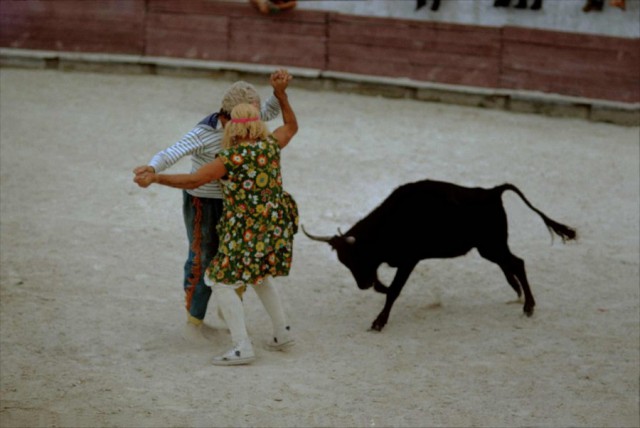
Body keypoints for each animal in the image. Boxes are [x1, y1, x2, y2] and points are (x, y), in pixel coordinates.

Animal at [302, 179, 576, 332]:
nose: (362, 285)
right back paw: (517, 291)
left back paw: (528, 305)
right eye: (344, 262)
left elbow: (394, 291)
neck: (390, 222)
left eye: (357, 257)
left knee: (517, 262)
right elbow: (386, 286)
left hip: (492, 245)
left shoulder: (409, 260)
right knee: (510, 263)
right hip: (488, 248)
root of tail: (492, 192)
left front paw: (379, 322)